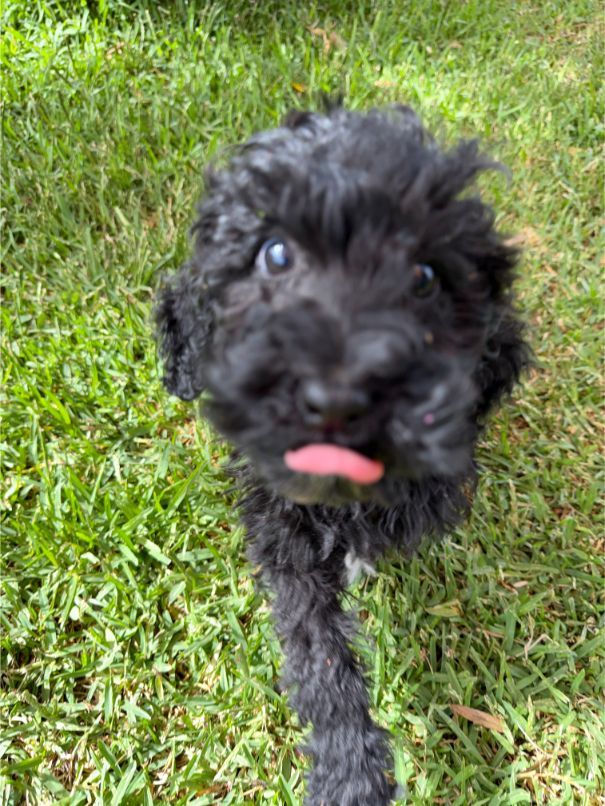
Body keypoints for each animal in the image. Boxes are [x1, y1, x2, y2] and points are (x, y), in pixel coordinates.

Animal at [155, 105, 528, 805]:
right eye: (275, 254)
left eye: (424, 276)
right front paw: (349, 770)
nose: (337, 397)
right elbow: (319, 652)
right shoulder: (283, 533)